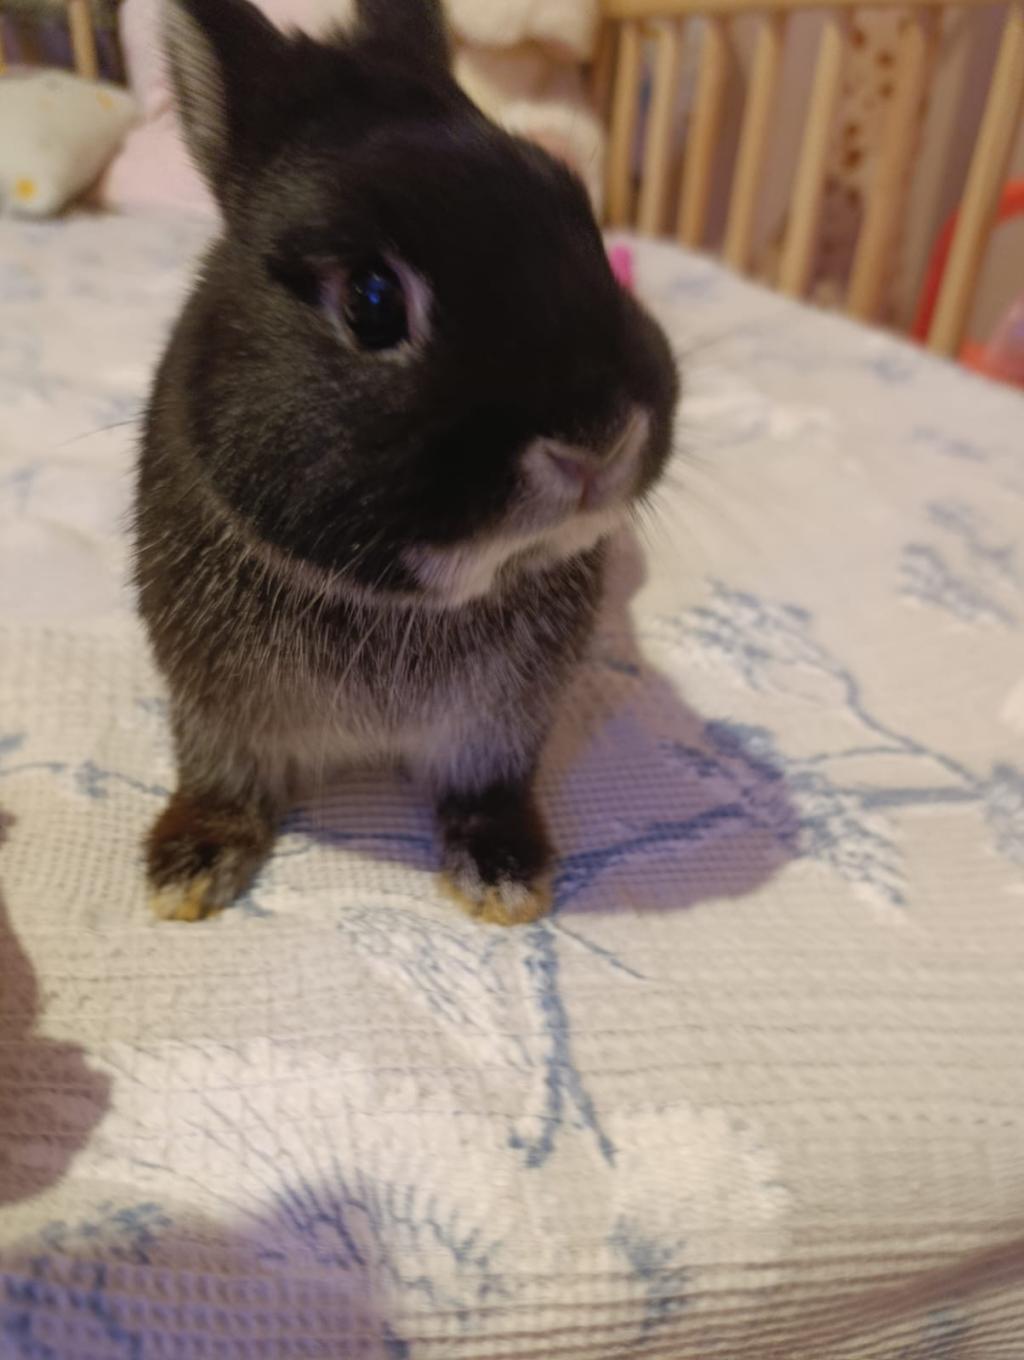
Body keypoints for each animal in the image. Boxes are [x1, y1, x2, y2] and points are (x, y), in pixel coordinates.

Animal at [134, 0, 678, 926]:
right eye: (372, 301)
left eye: (580, 218)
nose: (601, 438)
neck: (397, 604)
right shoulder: (214, 709)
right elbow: (220, 777)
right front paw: (187, 870)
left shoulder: (498, 727)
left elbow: (489, 789)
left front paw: (504, 875)